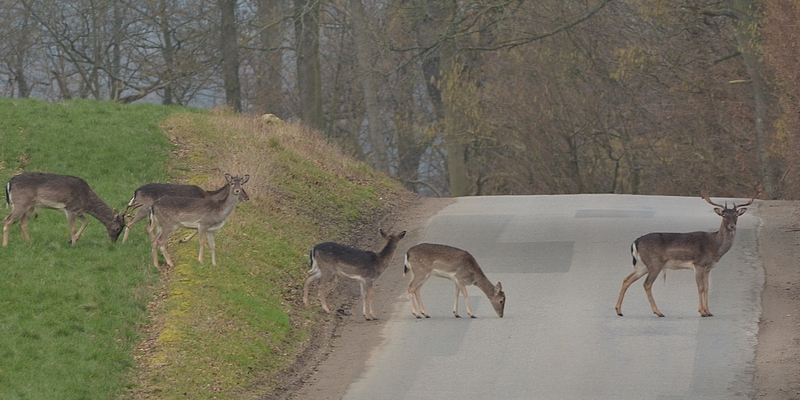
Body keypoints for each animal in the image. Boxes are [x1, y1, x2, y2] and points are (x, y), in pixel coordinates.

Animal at [616, 188, 760, 318]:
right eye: (724, 215)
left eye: (736, 215)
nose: (732, 226)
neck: (715, 246)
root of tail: (635, 241)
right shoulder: (699, 264)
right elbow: (700, 287)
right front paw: (702, 312)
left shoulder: (708, 268)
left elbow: (707, 287)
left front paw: (709, 311)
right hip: (654, 263)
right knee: (646, 284)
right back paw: (658, 312)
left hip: (642, 265)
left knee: (626, 279)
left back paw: (619, 310)